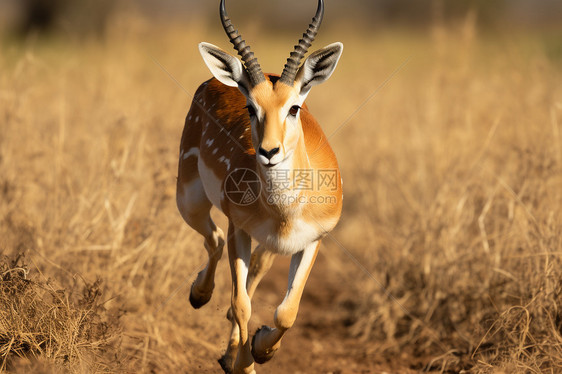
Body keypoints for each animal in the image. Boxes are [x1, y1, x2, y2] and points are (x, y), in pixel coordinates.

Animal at [175, 1, 342, 372]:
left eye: (294, 107)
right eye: (251, 108)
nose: (269, 151)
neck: (284, 214)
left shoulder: (314, 240)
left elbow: (287, 311)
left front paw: (263, 349)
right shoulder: (239, 228)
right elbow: (242, 304)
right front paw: (246, 363)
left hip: (263, 243)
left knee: (251, 265)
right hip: (189, 201)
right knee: (215, 240)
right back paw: (199, 296)